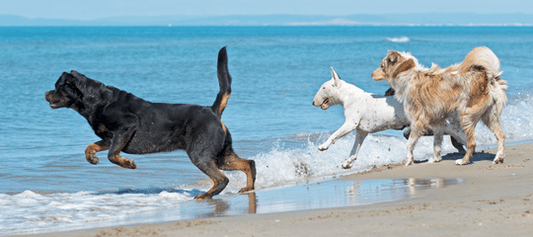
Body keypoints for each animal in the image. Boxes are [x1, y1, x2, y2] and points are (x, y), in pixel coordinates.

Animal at [43, 47, 256, 199]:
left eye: (57, 86)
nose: (45, 93)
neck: (95, 100)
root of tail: (212, 110)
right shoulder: (110, 138)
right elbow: (90, 147)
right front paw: (92, 158)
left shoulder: (126, 126)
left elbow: (112, 155)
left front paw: (128, 164)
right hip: (219, 154)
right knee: (248, 163)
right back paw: (248, 187)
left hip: (200, 154)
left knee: (222, 178)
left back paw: (205, 195)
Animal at [370, 45, 508, 165]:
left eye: (381, 66)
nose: (371, 74)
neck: (407, 75)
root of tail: (489, 78)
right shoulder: (437, 122)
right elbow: (436, 143)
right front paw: (435, 159)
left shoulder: (418, 121)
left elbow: (409, 144)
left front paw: (409, 160)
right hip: (490, 116)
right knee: (500, 135)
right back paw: (498, 158)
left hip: (466, 116)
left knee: (472, 143)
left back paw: (463, 161)